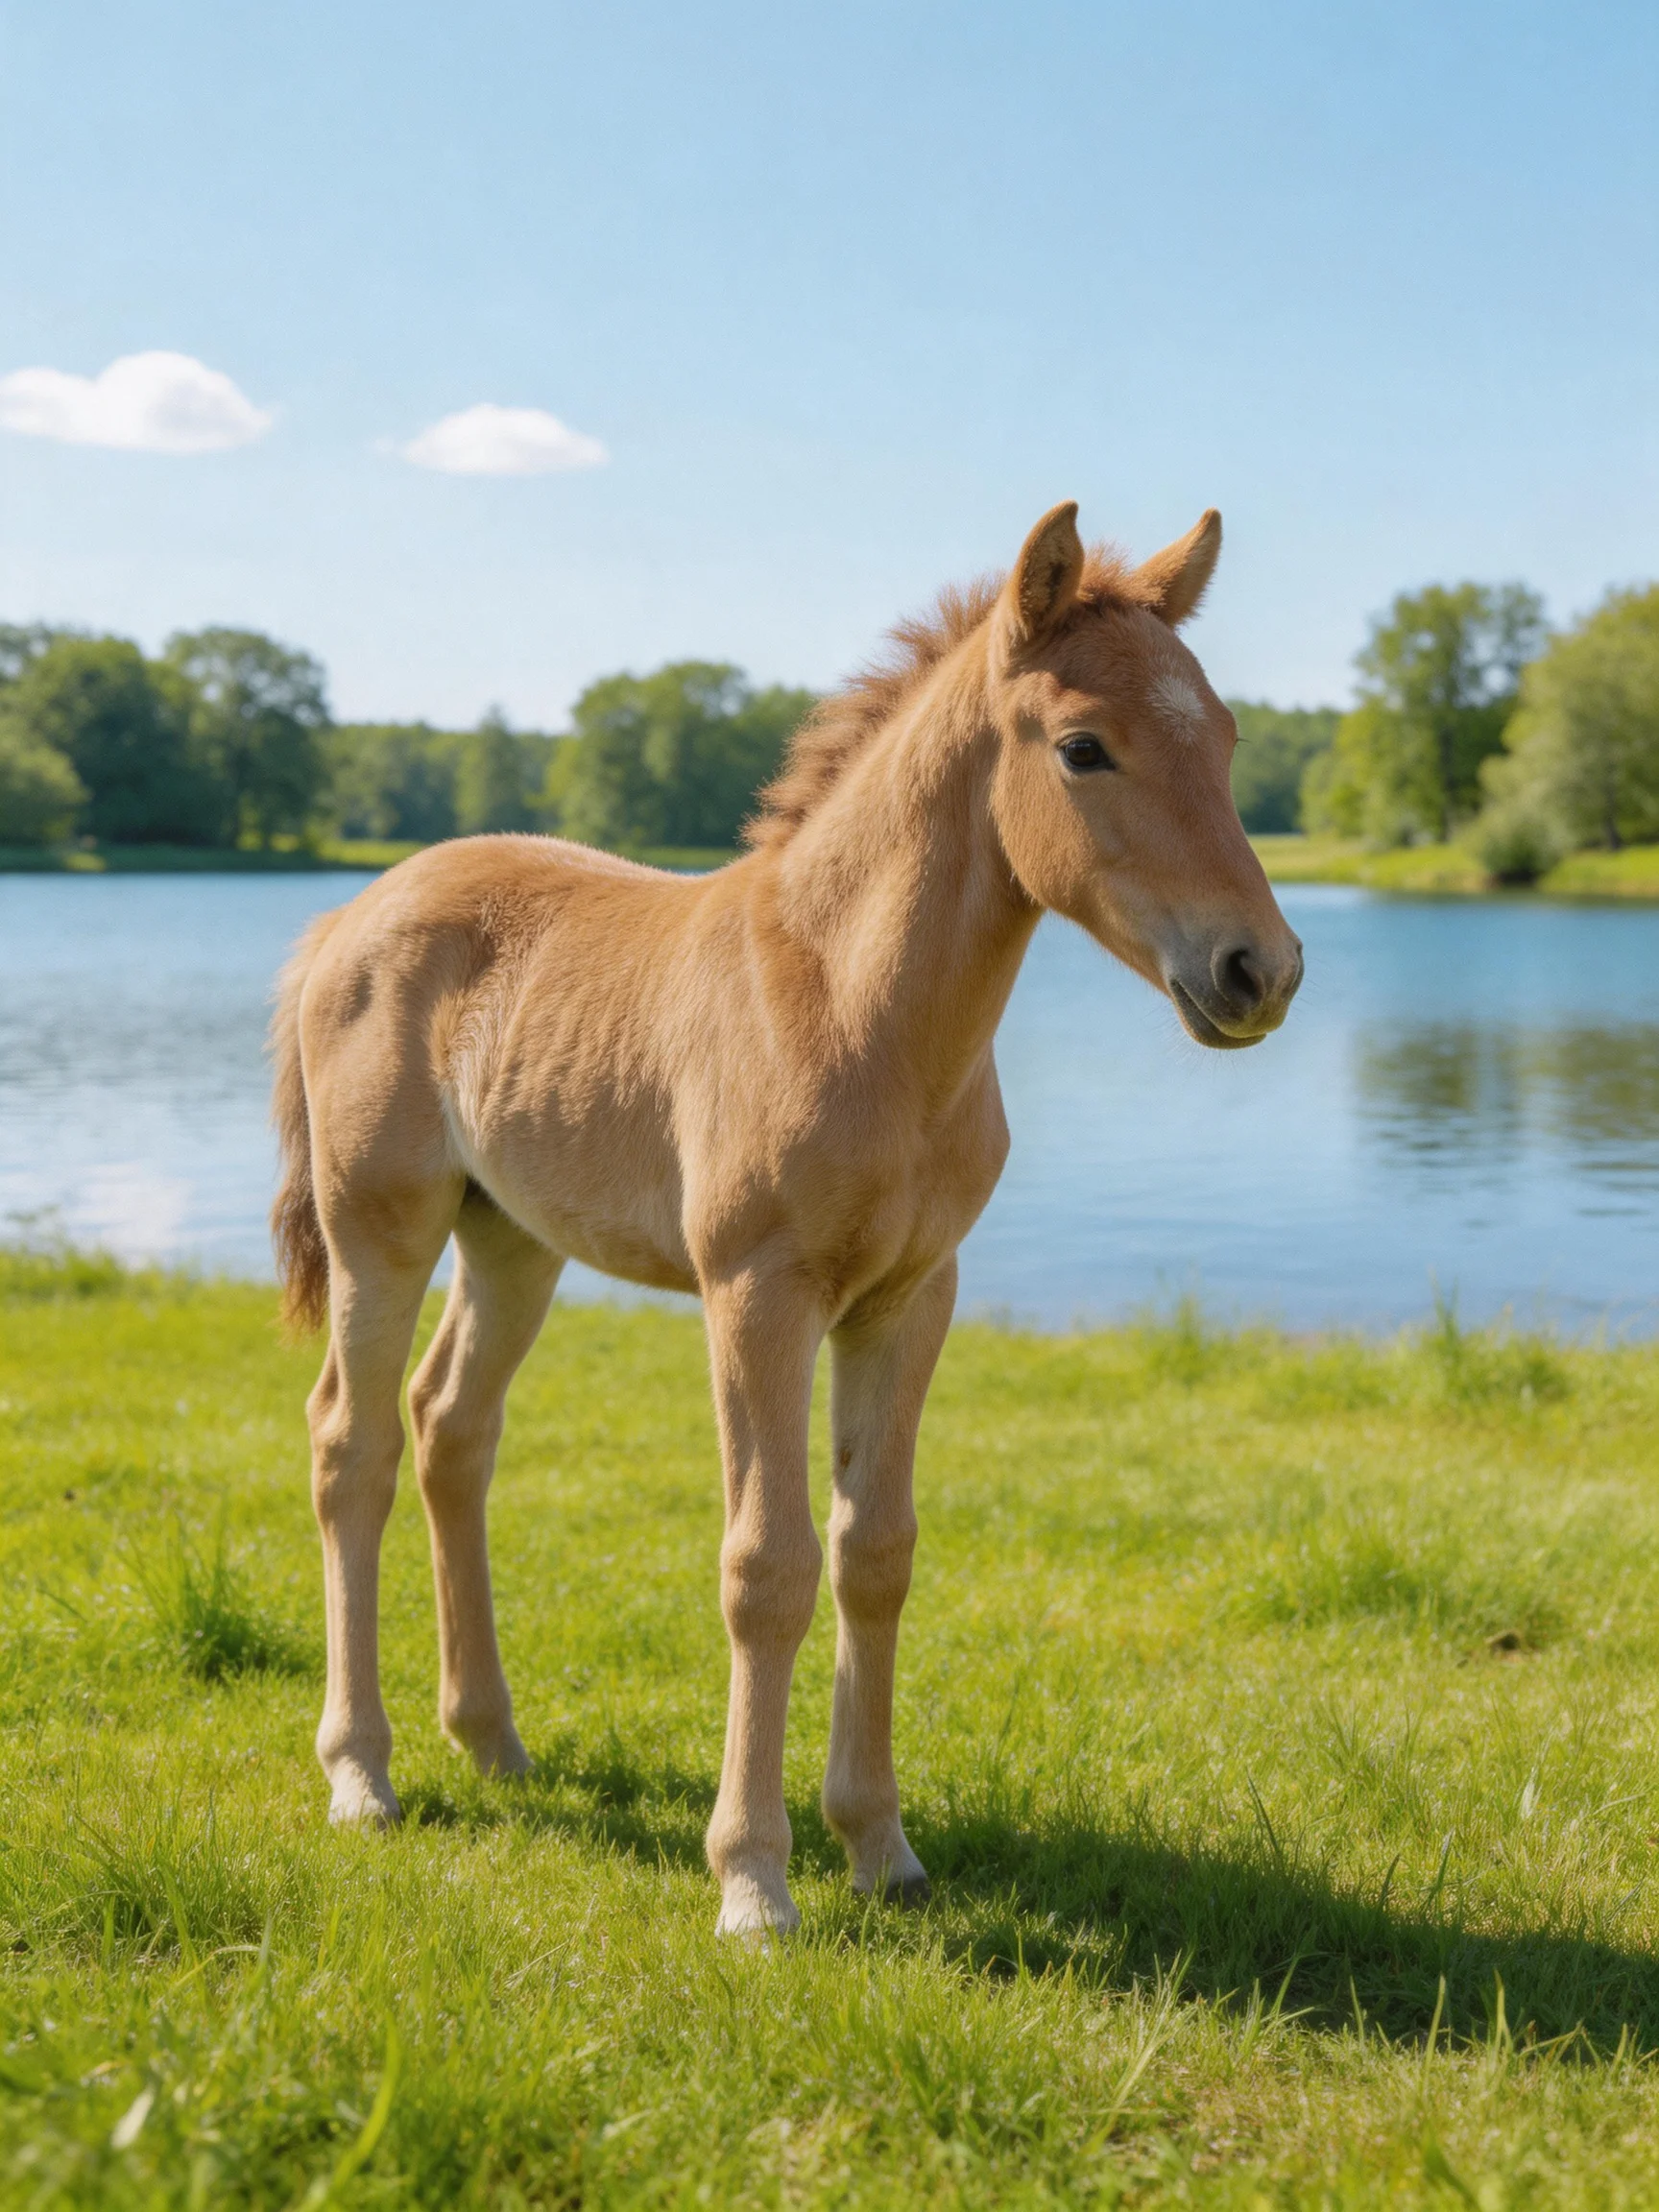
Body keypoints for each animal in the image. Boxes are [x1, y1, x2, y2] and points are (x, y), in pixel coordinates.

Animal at [269, 500, 1303, 1937]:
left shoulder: (911, 1297)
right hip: (384, 1226)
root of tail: (345, 915)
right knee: (349, 1443)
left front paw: (881, 1850)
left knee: (450, 1429)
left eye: (1228, 738)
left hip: (513, 1239)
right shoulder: (757, 1294)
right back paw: (361, 1774)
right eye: (1084, 747)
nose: (1260, 970)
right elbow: (767, 1569)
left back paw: (492, 1740)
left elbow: (877, 1552)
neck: (853, 1008)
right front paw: (754, 1883)